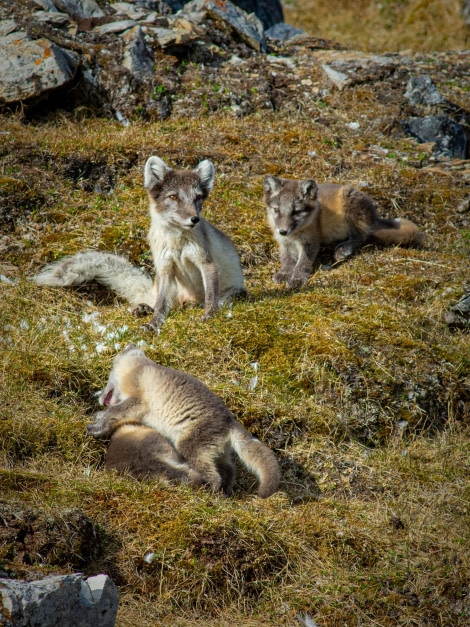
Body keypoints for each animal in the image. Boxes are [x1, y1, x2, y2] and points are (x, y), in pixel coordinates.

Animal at [34, 156, 246, 334]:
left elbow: (210, 296)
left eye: (198, 197)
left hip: (238, 292)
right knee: (167, 303)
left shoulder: (206, 263)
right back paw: (145, 308)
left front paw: (209, 316)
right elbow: (161, 306)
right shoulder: (165, 268)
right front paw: (154, 323)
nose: (195, 219)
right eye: (173, 197)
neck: (176, 243)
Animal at [86, 344, 280, 500]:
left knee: (214, 476)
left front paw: (97, 425)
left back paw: (210, 493)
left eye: (109, 374)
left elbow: (114, 412)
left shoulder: (137, 399)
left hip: (190, 446)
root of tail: (230, 422)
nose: (99, 397)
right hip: (219, 452)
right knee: (229, 471)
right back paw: (226, 494)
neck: (139, 367)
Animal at [264, 174, 426, 288]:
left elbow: (303, 262)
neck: (294, 235)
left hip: (349, 207)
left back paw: (344, 249)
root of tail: (374, 216)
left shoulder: (311, 242)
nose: (283, 231)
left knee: (361, 237)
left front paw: (297, 278)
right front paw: (284, 273)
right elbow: (286, 259)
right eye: (276, 210)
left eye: (296, 212)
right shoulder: (284, 243)